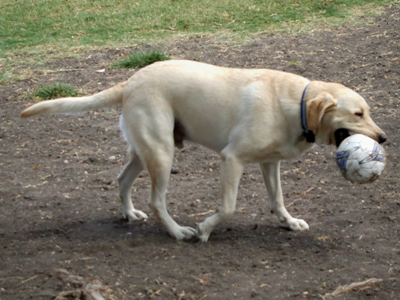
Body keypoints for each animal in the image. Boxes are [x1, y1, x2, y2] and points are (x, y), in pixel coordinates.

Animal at [21, 59, 388, 241]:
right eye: (358, 114)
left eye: (367, 111)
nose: (383, 138)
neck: (294, 103)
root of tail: (131, 81)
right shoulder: (232, 159)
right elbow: (227, 207)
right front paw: (205, 229)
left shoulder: (270, 164)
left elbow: (278, 199)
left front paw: (289, 222)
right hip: (162, 153)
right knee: (156, 201)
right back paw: (178, 232)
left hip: (145, 150)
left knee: (123, 181)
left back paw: (130, 214)